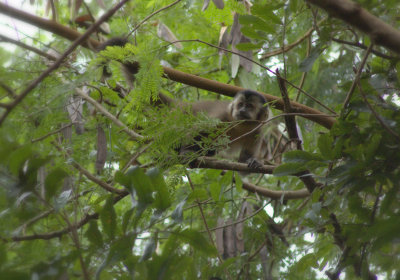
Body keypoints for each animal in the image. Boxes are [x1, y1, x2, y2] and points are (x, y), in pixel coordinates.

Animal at [96, 37, 268, 168]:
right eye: (240, 105)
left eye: (249, 106)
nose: (241, 111)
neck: (239, 126)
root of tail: (180, 105)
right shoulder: (222, 117)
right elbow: (196, 130)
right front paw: (187, 152)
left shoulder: (257, 131)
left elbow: (244, 159)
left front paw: (254, 161)